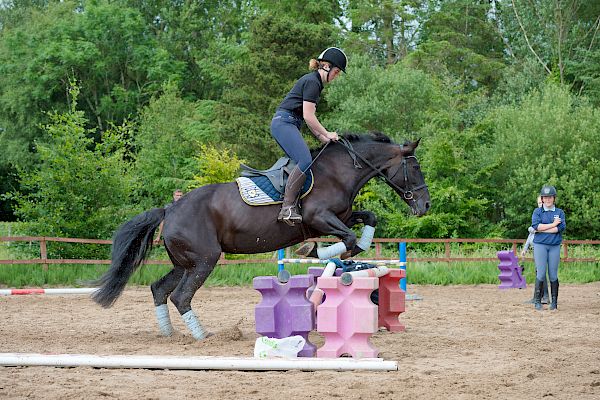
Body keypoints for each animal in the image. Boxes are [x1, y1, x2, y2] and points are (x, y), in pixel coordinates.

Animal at [91, 133, 428, 340]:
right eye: (415, 168)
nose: (425, 206)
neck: (339, 171)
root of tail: (169, 208)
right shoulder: (319, 218)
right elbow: (348, 240)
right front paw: (316, 252)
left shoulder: (338, 218)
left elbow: (367, 219)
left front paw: (336, 250)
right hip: (204, 260)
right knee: (181, 295)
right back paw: (203, 336)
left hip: (184, 262)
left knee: (160, 289)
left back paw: (169, 333)